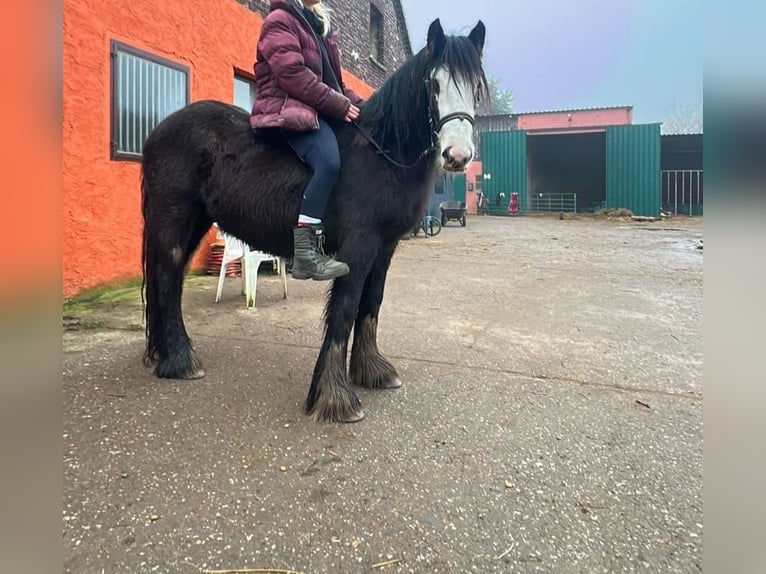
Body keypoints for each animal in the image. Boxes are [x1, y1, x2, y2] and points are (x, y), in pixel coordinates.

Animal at [141, 19, 488, 424]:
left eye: (476, 88)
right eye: (433, 84)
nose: (457, 155)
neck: (381, 153)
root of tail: (158, 131)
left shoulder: (384, 248)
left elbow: (371, 304)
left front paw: (372, 371)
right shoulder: (359, 245)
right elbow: (345, 309)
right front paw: (336, 397)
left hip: (195, 221)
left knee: (172, 277)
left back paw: (168, 353)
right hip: (173, 218)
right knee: (168, 277)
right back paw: (181, 361)